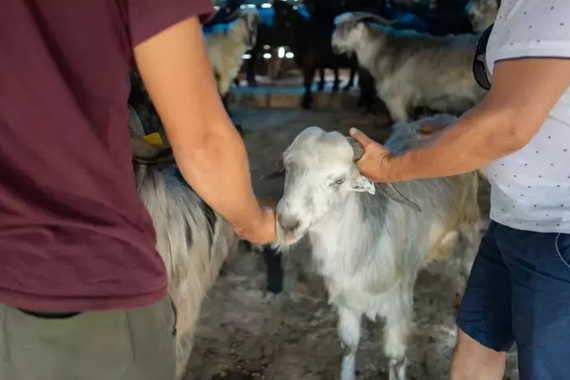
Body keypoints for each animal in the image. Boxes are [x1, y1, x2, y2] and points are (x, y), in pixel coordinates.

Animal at [270, 124, 480, 380]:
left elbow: (396, 358)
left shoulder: (398, 304)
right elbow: (348, 346)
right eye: (288, 167)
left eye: (339, 180)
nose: (287, 223)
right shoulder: (346, 301)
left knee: (468, 262)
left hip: (471, 222)